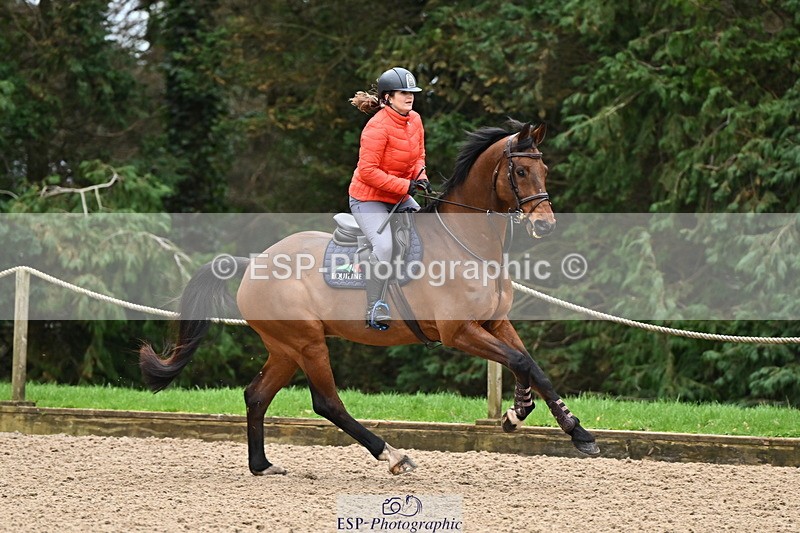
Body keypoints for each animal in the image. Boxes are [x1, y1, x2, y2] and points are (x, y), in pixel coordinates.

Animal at [139, 119, 600, 476]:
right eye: (519, 172)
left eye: (544, 169)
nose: (545, 225)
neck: (466, 244)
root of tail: (253, 263)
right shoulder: (460, 332)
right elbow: (520, 362)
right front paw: (518, 412)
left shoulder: (494, 323)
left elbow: (534, 367)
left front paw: (571, 430)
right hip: (307, 343)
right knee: (327, 402)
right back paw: (393, 455)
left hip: (285, 347)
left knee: (256, 395)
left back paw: (262, 465)